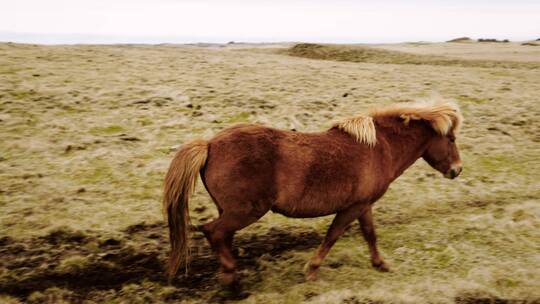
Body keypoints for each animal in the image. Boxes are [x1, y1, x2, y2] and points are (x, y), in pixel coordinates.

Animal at [162, 99, 462, 284]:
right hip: (245, 211)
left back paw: (228, 271)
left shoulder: (363, 205)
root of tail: (210, 144)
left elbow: (370, 234)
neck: (379, 147)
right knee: (212, 231)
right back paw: (230, 274)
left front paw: (380, 264)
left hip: (230, 210)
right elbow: (333, 236)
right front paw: (311, 270)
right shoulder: (352, 207)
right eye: (451, 139)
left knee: (222, 236)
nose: (457, 170)